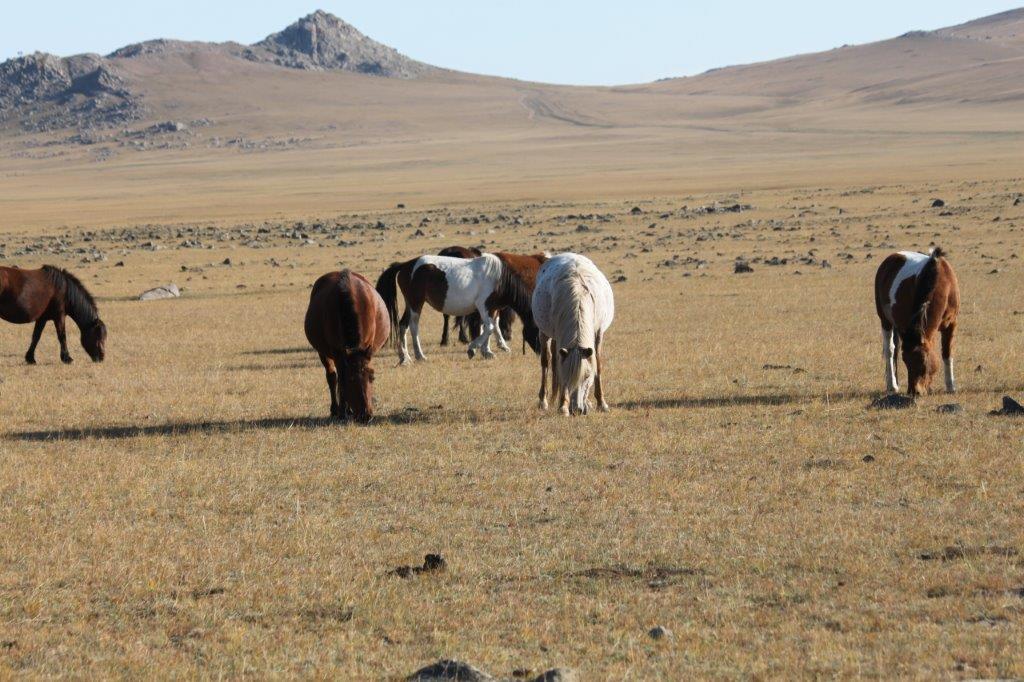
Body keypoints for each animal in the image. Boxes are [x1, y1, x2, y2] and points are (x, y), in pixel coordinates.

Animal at [303, 268, 391, 421]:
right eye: (351, 379)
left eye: (372, 377)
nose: (365, 415)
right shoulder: (337, 352)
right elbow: (340, 378)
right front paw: (342, 411)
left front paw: (347, 410)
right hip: (324, 353)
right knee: (332, 377)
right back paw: (336, 409)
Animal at [376, 250, 548, 366]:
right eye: (537, 330)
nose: (542, 352)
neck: (500, 279)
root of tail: (406, 265)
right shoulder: (484, 306)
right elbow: (490, 327)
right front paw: (473, 349)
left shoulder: (491, 309)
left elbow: (490, 327)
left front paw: (487, 351)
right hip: (416, 303)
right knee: (413, 327)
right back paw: (419, 355)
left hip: (411, 304)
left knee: (402, 325)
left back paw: (404, 357)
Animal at [532, 251, 610, 413]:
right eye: (567, 376)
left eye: (587, 377)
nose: (577, 409)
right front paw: (563, 405)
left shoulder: (598, 334)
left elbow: (597, 365)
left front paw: (601, 403)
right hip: (544, 333)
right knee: (546, 362)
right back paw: (543, 401)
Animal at [872, 245, 958, 393]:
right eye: (906, 361)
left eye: (923, 360)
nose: (914, 391)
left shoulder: (951, 324)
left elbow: (947, 353)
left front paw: (950, 386)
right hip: (885, 321)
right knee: (890, 350)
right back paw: (892, 385)